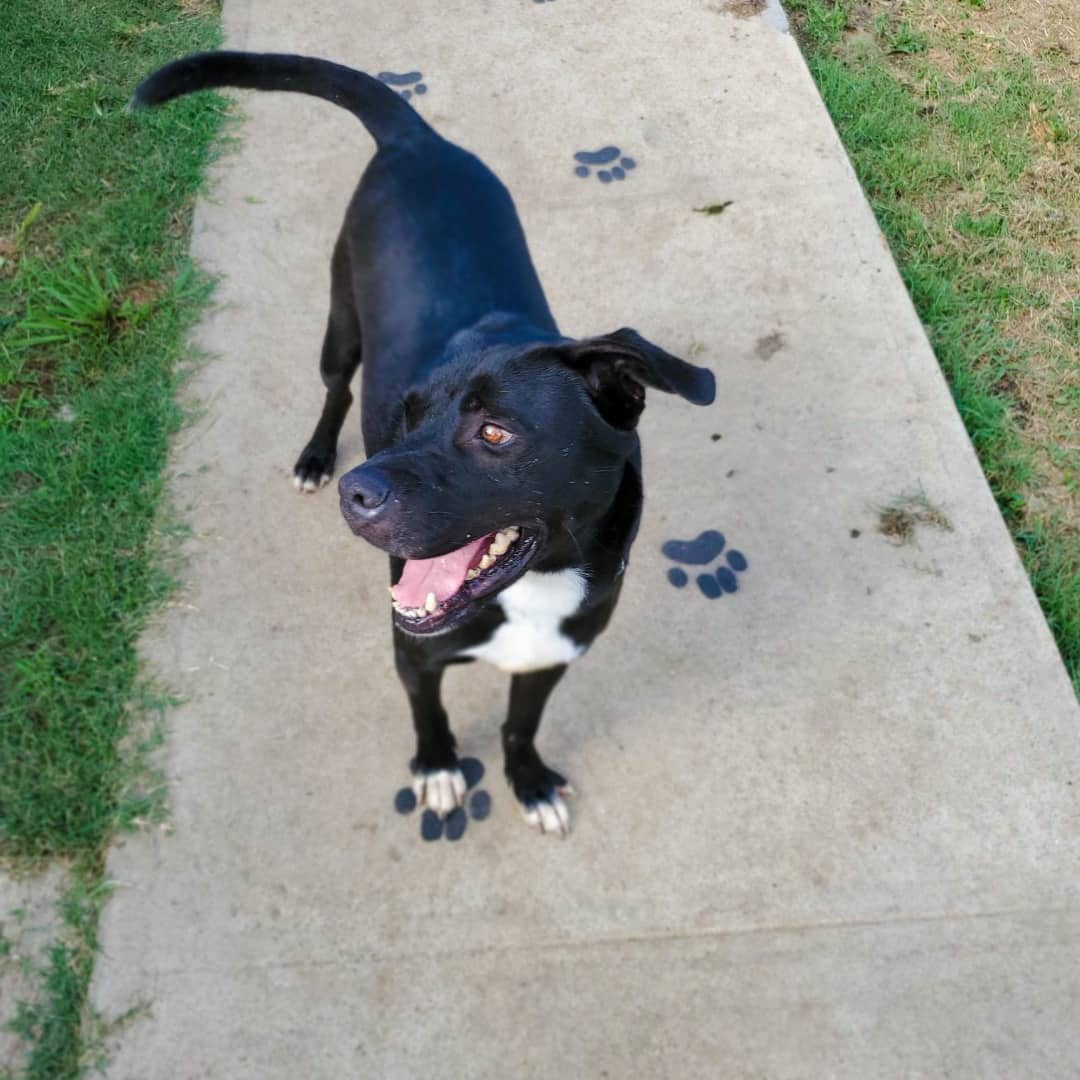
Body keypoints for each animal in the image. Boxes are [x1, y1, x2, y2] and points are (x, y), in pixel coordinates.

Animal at [132, 52, 717, 833]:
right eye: (407, 418)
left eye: (495, 431)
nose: (357, 496)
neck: (538, 584)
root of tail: (417, 139)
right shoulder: (413, 649)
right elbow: (428, 712)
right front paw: (439, 769)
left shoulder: (550, 658)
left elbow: (520, 724)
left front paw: (528, 780)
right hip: (341, 320)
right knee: (336, 388)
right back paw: (316, 456)